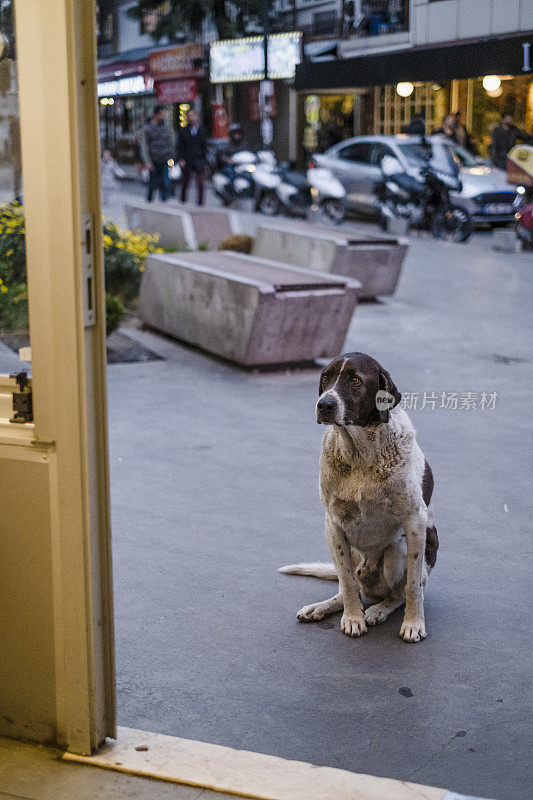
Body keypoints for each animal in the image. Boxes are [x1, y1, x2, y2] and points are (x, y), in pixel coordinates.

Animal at [278, 352, 436, 644]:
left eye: (355, 380)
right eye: (326, 377)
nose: (324, 404)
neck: (360, 454)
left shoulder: (415, 521)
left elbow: (413, 587)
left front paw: (413, 623)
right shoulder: (333, 523)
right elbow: (348, 582)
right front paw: (352, 618)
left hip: (400, 547)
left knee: (398, 593)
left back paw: (379, 610)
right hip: (333, 539)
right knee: (348, 583)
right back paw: (327, 607)